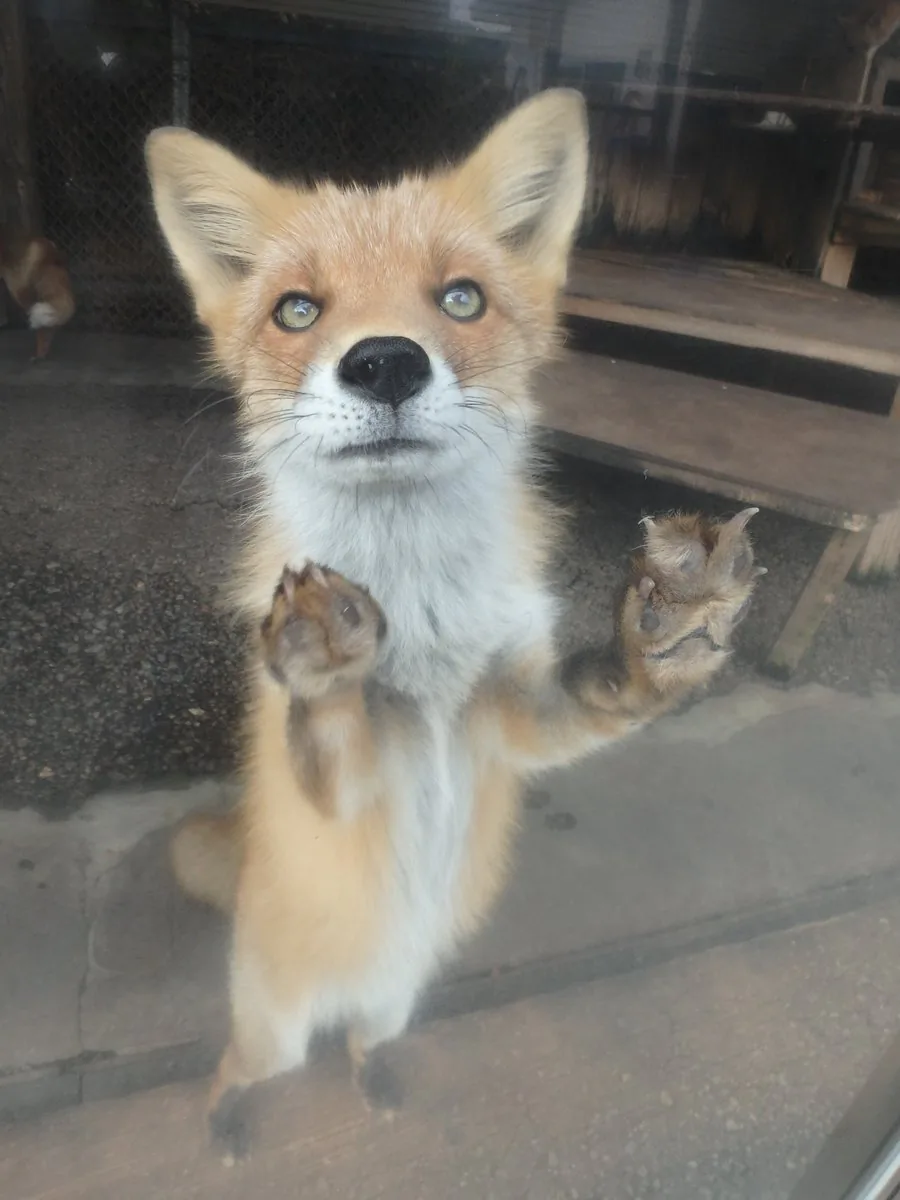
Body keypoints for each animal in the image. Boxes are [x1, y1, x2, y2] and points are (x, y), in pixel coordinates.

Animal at [145, 89, 765, 1161]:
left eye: (462, 298)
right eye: (298, 309)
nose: (385, 362)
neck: (421, 609)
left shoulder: (504, 722)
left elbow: (608, 693)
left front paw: (666, 643)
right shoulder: (356, 784)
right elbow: (327, 732)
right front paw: (326, 661)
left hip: (395, 1000)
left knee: (364, 1037)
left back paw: (377, 1077)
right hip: (274, 1033)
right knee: (238, 1067)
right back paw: (226, 1122)